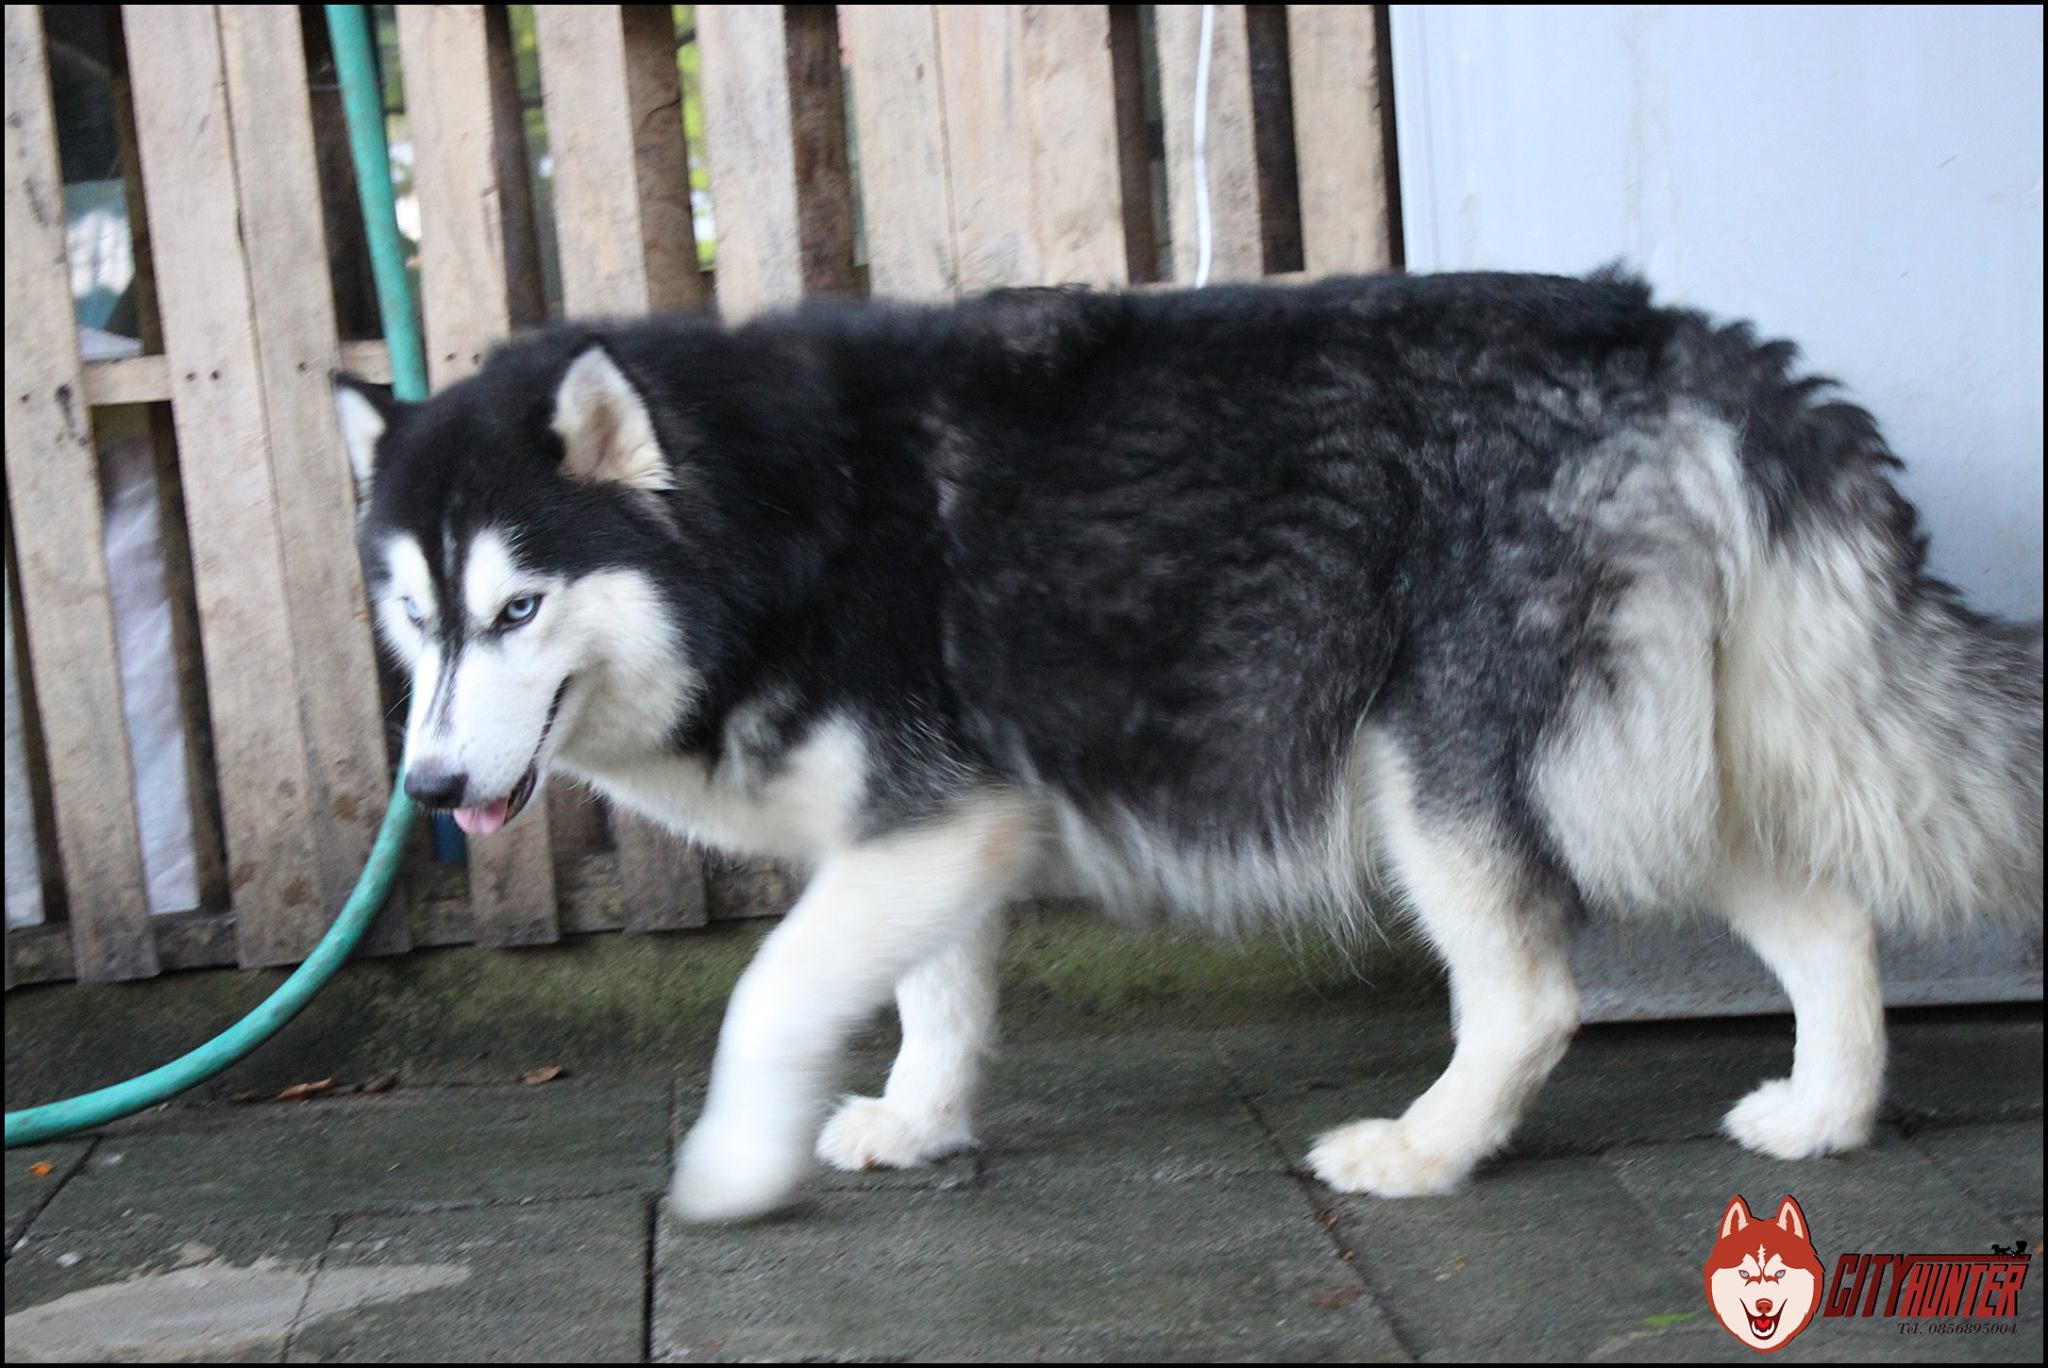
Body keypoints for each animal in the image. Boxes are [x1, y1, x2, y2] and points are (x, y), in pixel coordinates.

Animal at [334, 271, 2043, 1223]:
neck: (768, 518)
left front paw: (732, 1172)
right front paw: (920, 1121)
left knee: (1535, 997)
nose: (430, 788)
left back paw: (1426, 1153)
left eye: (519, 608)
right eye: (418, 620)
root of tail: (1681, 338)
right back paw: (1826, 1114)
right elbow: (933, 999)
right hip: (1648, 768)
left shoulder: (932, 822)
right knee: (1826, 913)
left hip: (1447, 773)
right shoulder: (937, 826)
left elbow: (765, 998)